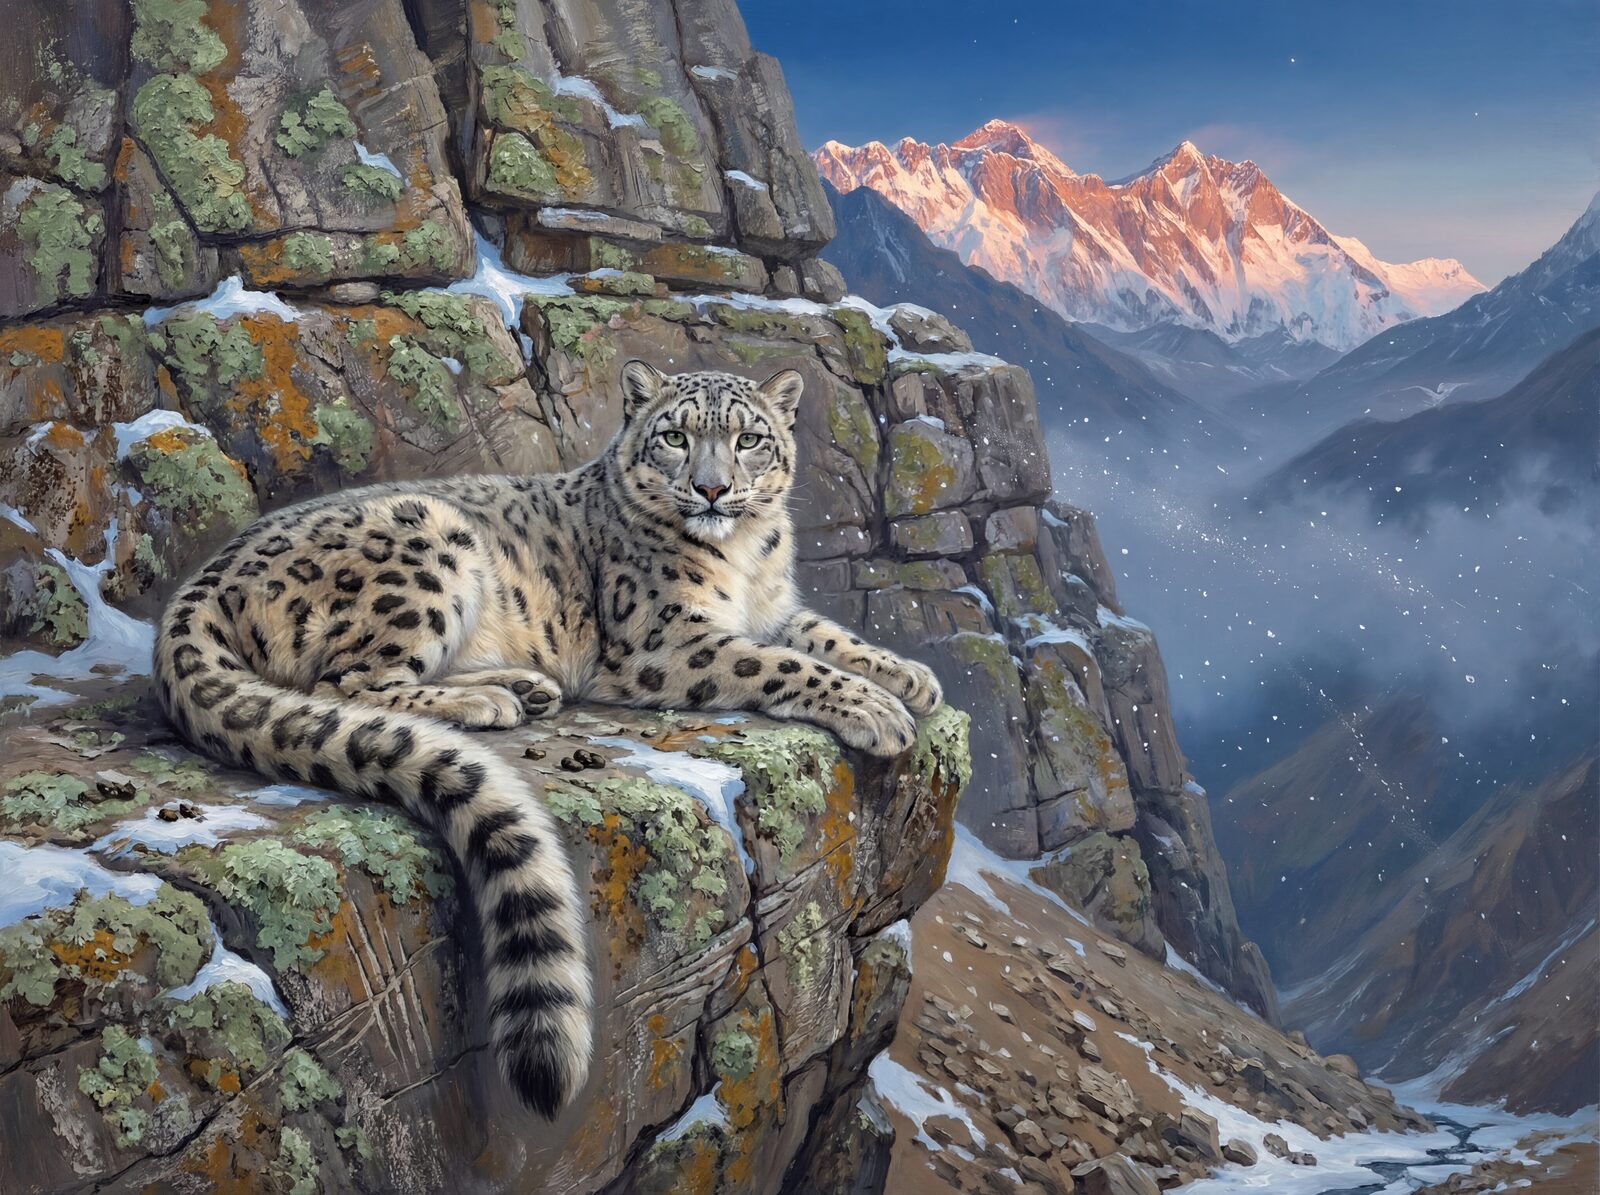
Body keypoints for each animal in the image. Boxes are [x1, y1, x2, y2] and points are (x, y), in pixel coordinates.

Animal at [151, 360, 942, 1116]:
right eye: (675, 436)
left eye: (749, 438)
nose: (713, 489)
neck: (747, 558)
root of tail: (206, 576)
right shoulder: (668, 640)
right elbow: (779, 662)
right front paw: (877, 708)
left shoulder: (774, 610)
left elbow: (825, 635)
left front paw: (911, 678)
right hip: (426, 549)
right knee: (342, 683)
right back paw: (490, 699)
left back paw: (526, 685)